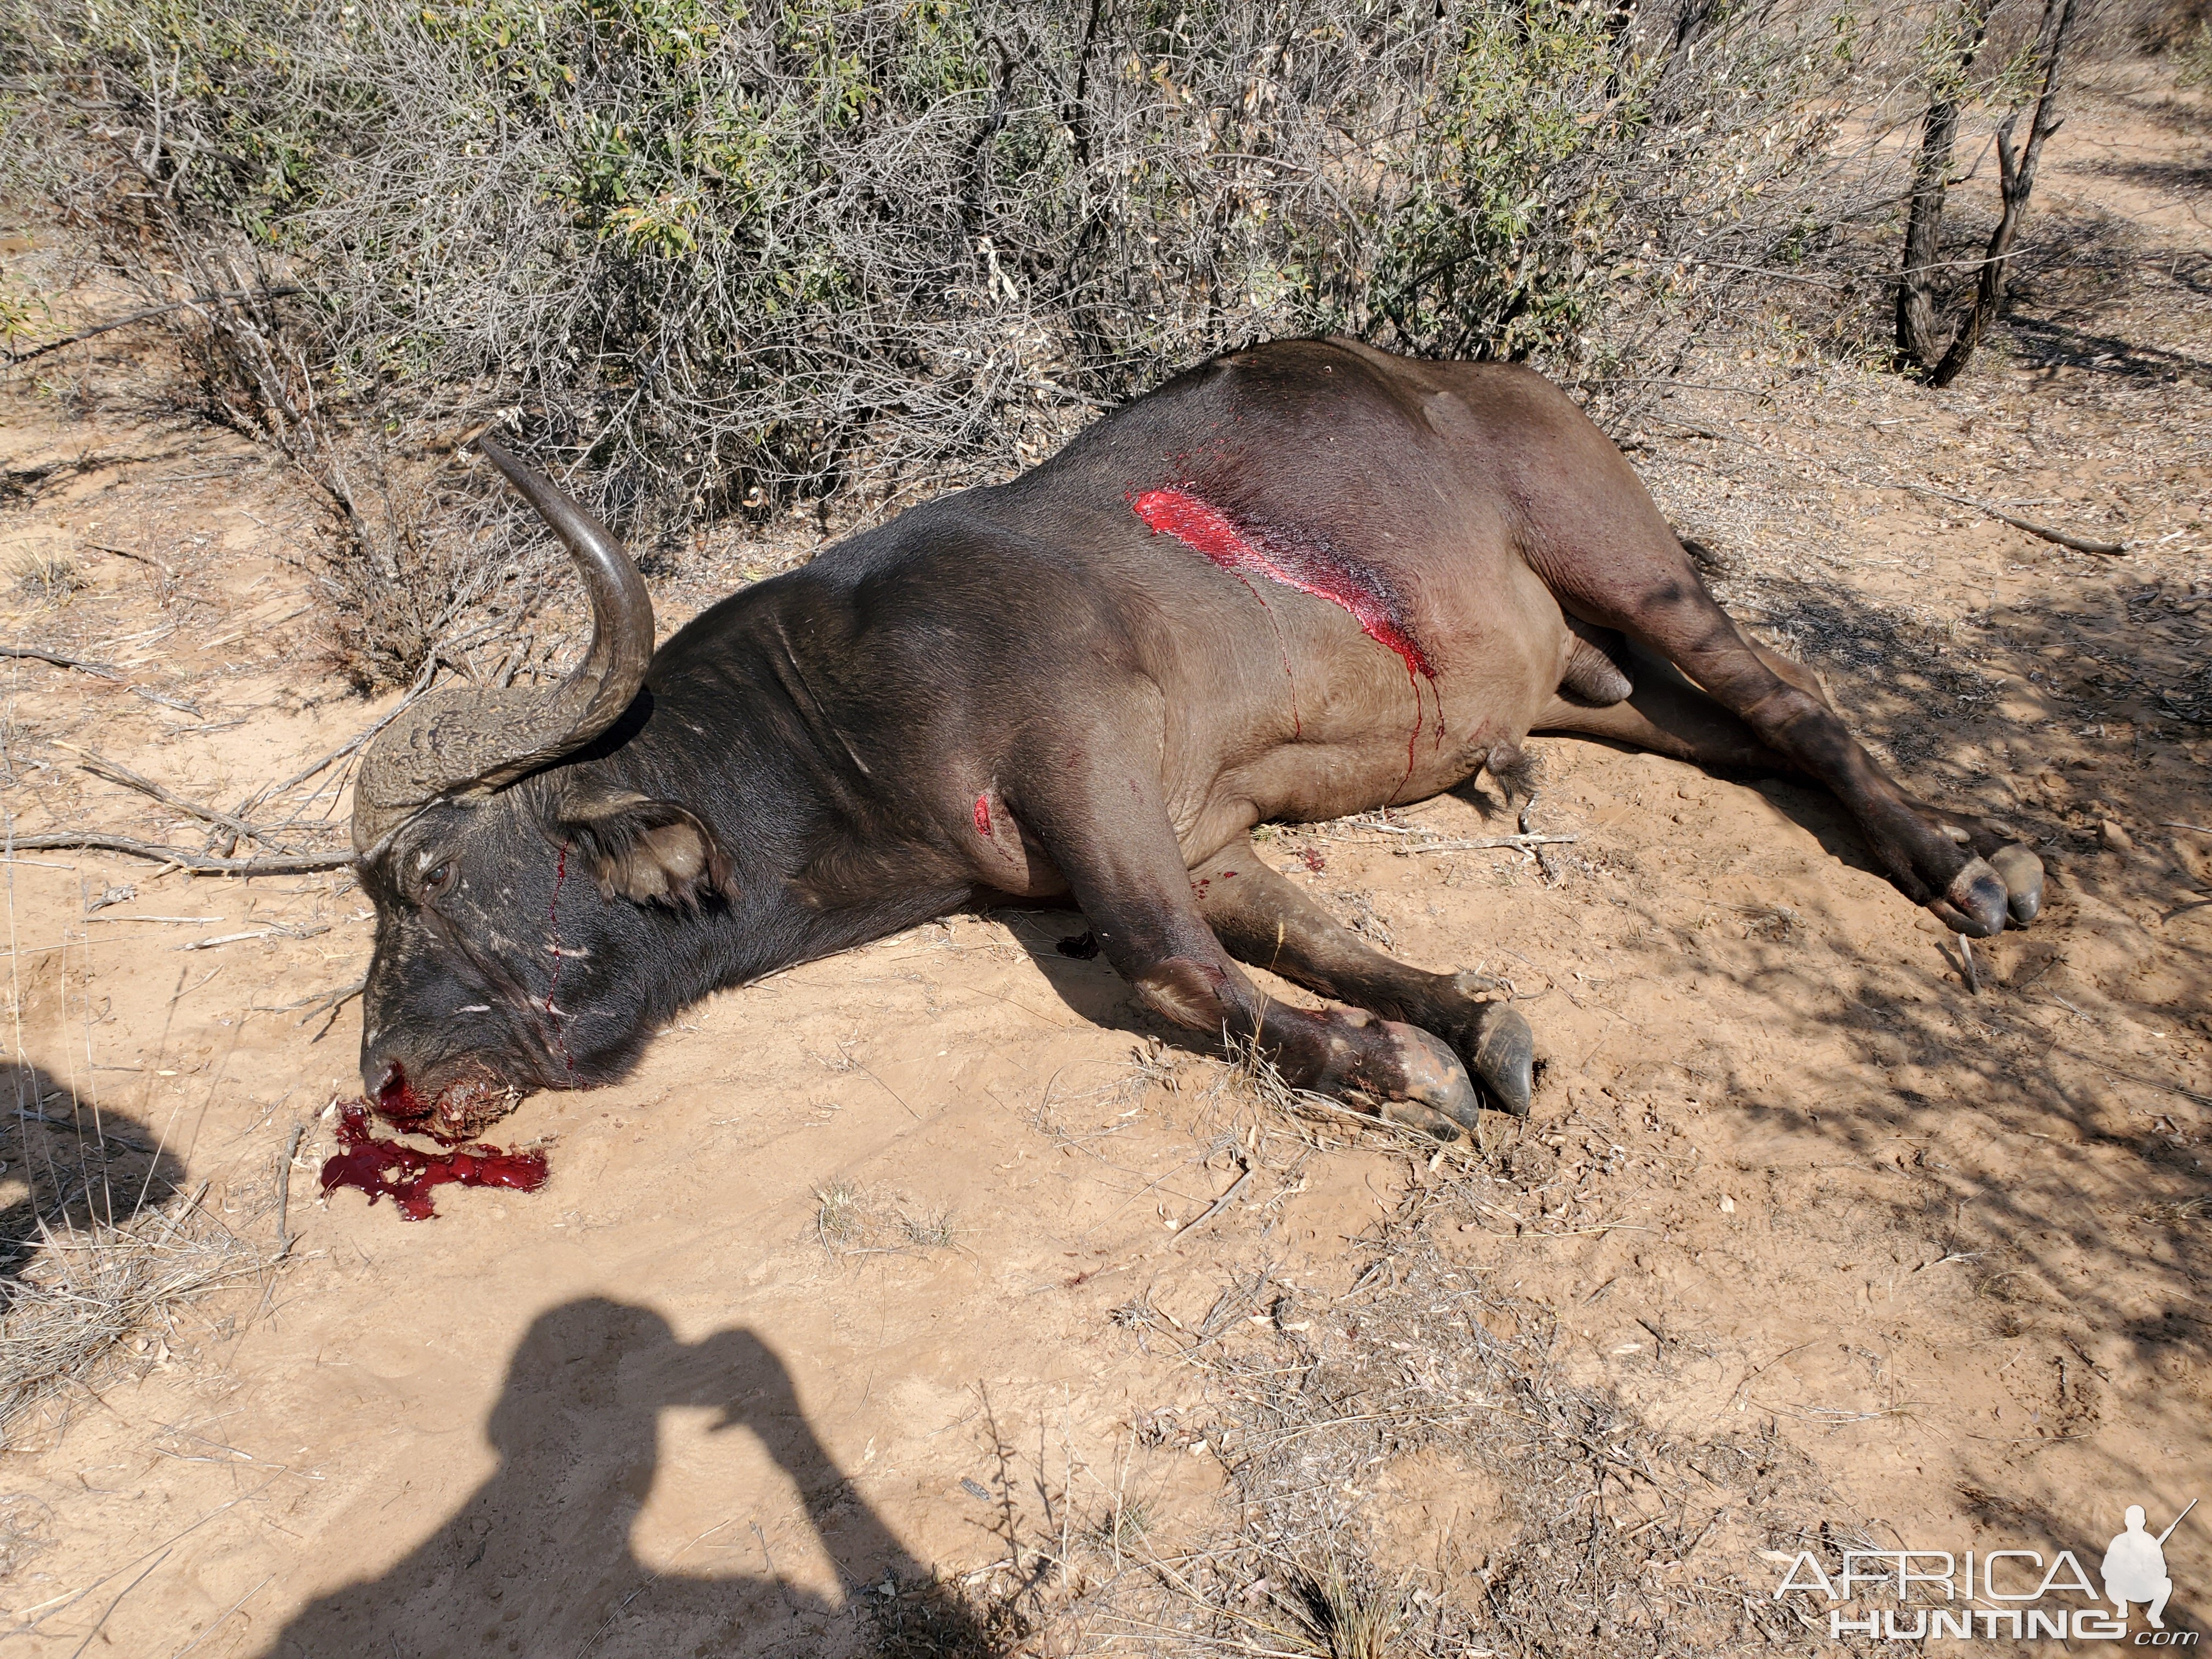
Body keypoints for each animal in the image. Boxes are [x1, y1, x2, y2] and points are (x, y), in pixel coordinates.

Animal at [349, 338, 2035, 1141]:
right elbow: (1310, 941)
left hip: (1632, 563)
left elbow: (1169, 967)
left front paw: (1397, 1069)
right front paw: (1467, 1021)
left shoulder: (1089, 775)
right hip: (1585, 685)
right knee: (1742, 739)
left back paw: (1973, 868)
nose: (393, 1078)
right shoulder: (1202, 834)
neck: (831, 717)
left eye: (425, 881)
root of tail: (1469, 382)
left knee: (1795, 700)